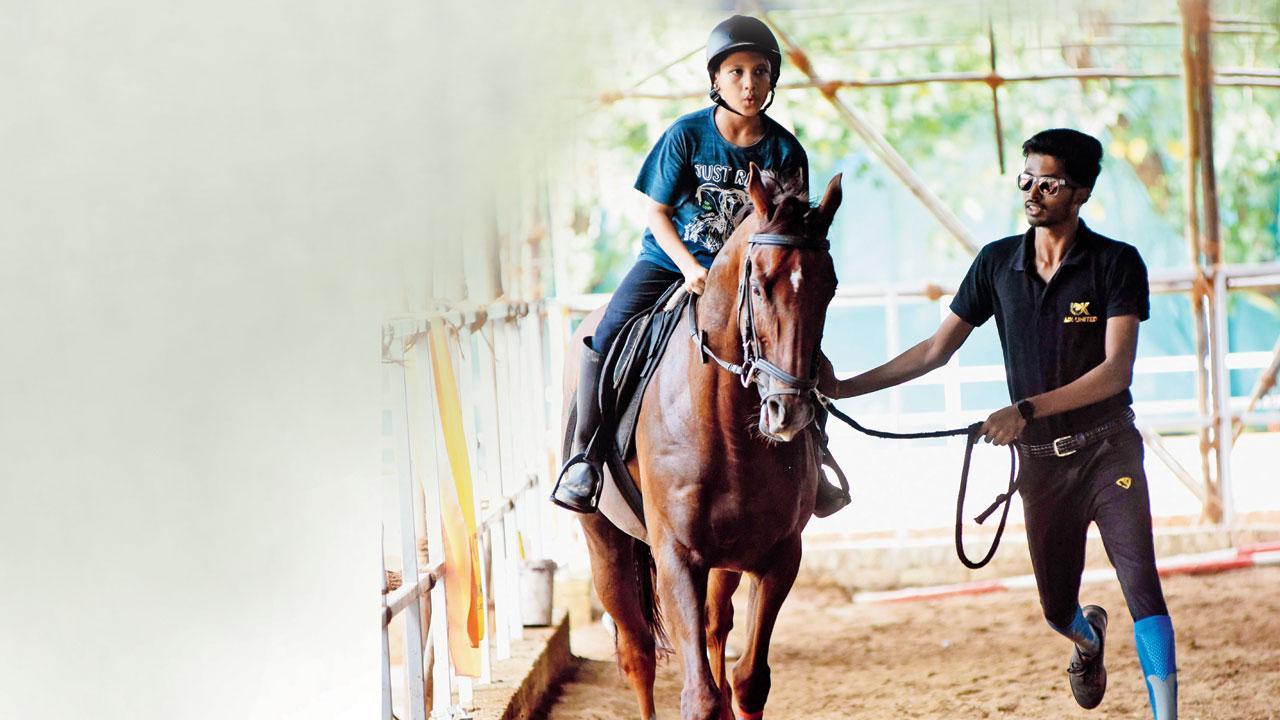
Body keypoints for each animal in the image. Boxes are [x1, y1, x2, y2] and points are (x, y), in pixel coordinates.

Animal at [568, 165, 839, 712]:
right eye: (759, 284)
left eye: (830, 288)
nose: (788, 410)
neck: (730, 432)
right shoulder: (677, 557)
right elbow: (700, 697)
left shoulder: (779, 556)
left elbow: (749, 681)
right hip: (605, 546)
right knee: (638, 654)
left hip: (726, 561)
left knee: (716, 627)